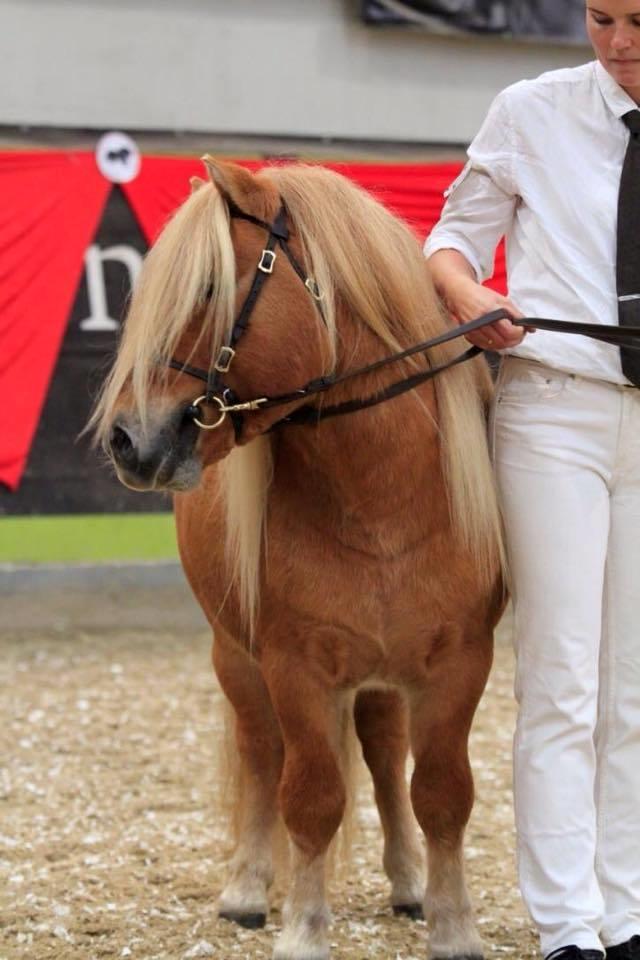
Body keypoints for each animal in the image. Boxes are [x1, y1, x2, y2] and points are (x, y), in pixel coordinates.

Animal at [92, 157, 505, 960]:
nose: (128, 440)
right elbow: (310, 797)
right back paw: (249, 889)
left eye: (210, 288)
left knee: (382, 751)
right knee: (261, 753)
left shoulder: (458, 663)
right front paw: (304, 932)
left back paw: (406, 881)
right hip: (236, 657)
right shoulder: (295, 666)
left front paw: (452, 925)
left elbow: (442, 793)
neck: (382, 501)